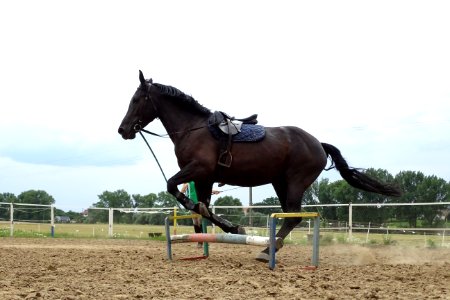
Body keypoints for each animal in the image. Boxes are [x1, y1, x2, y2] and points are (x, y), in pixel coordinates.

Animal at [118, 71, 400, 262]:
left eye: (137, 99)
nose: (123, 130)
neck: (193, 129)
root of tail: (318, 143)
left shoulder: (199, 169)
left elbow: (174, 188)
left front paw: (232, 227)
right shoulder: (205, 178)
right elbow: (202, 207)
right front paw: (230, 227)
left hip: (295, 181)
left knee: (294, 215)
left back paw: (267, 251)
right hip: (279, 183)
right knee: (290, 215)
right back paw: (270, 247)